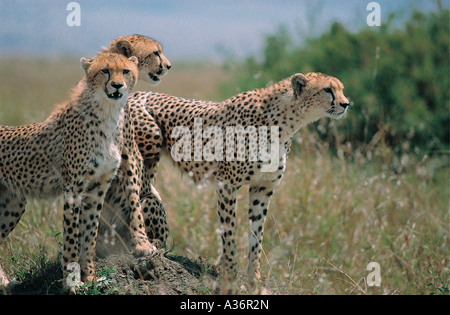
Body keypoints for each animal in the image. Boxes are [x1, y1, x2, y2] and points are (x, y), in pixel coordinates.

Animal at [0, 53, 143, 290]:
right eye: (105, 71)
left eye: (125, 71)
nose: (117, 85)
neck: (108, 113)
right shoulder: (73, 190)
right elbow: (72, 237)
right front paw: (72, 282)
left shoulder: (97, 190)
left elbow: (90, 234)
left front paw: (90, 278)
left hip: (13, 204)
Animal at [127, 73, 352, 288]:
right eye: (327, 90)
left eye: (341, 88)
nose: (346, 104)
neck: (285, 122)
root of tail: (134, 93)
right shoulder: (227, 184)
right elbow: (229, 231)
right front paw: (229, 272)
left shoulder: (263, 188)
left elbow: (256, 235)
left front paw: (254, 278)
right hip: (152, 139)